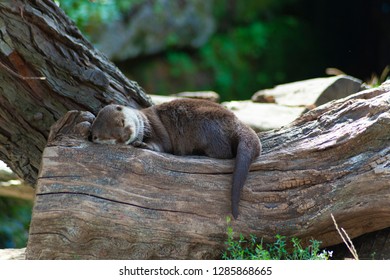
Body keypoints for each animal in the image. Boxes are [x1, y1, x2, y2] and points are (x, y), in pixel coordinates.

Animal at [91, 98, 262, 219]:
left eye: (122, 122)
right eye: (111, 137)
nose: (126, 135)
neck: (144, 120)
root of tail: (237, 122)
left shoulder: (156, 128)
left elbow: (161, 145)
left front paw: (143, 144)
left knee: (224, 152)